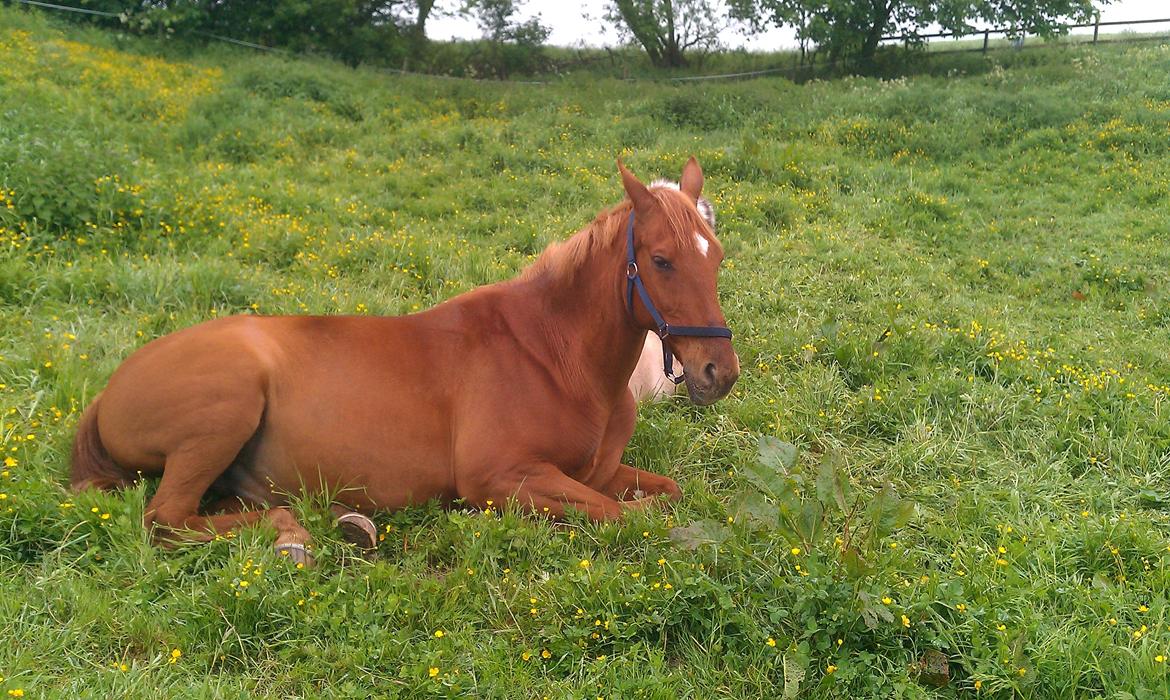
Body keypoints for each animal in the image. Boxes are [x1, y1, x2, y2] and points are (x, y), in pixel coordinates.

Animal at [68, 159, 734, 564]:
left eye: (717, 255)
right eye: (661, 260)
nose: (718, 373)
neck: (554, 356)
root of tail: (106, 392)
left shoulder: (598, 471)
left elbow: (666, 493)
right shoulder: (500, 478)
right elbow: (625, 516)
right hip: (223, 413)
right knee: (167, 520)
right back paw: (293, 536)